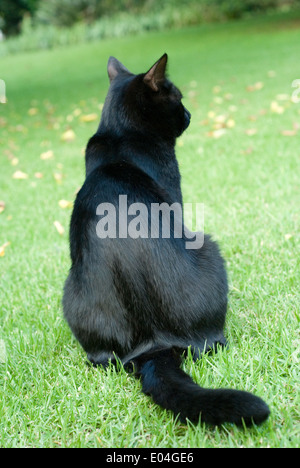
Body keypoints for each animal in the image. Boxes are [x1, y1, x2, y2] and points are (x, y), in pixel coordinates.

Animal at [62, 54, 270, 428]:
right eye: (178, 98)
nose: (189, 113)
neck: (119, 136)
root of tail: (154, 345)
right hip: (209, 247)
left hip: (72, 298)